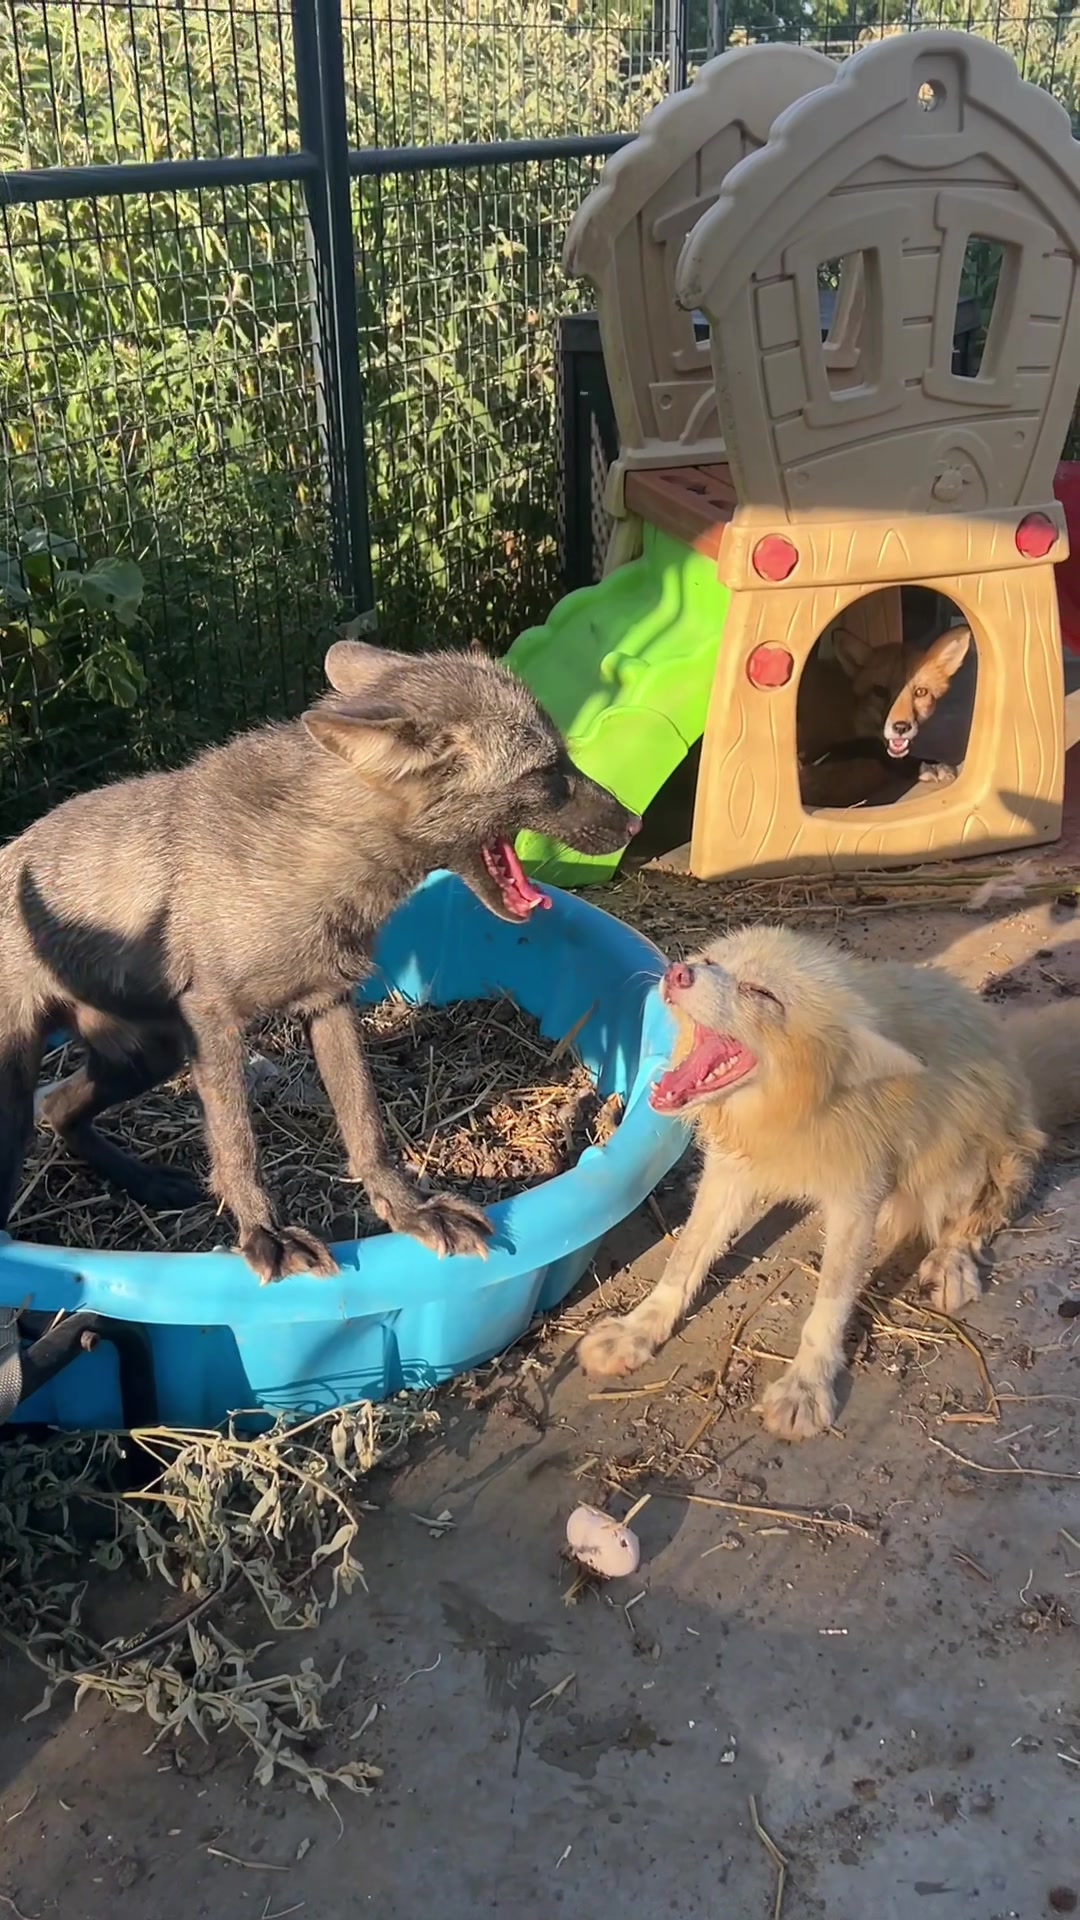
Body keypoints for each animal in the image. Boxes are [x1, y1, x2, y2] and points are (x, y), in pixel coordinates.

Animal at [0, 641, 638, 1284]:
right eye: (548, 773)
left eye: (564, 760)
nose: (634, 822)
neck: (316, 861)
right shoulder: (212, 1019)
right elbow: (237, 1147)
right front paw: (264, 1233)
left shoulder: (329, 1001)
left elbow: (367, 1130)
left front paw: (409, 1212)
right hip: (32, 1088)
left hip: (149, 1056)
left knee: (58, 1108)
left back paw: (145, 1180)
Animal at [577, 923, 1080, 1440]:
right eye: (710, 960)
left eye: (760, 992)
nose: (678, 972)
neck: (795, 1110)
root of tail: (1017, 1069)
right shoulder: (729, 1173)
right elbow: (682, 1263)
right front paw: (638, 1331)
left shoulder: (857, 1199)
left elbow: (829, 1308)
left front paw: (807, 1385)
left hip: (956, 1168)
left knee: (983, 1213)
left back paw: (952, 1262)